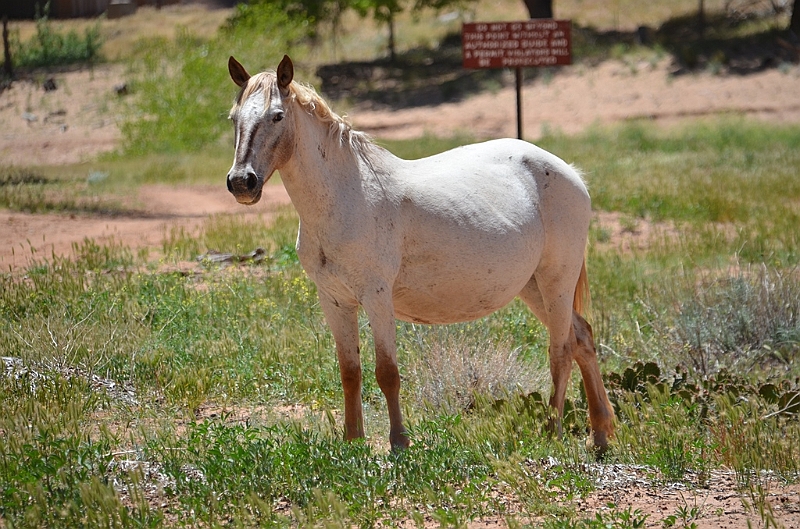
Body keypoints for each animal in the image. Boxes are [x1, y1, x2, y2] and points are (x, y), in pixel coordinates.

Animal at [228, 53, 616, 452]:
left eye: (277, 116)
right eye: (234, 118)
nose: (242, 183)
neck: (345, 195)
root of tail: (571, 173)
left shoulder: (377, 297)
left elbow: (387, 372)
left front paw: (399, 442)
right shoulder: (334, 300)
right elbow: (350, 372)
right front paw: (353, 443)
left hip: (557, 281)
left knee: (561, 349)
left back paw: (552, 432)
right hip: (533, 286)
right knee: (582, 338)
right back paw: (600, 434)